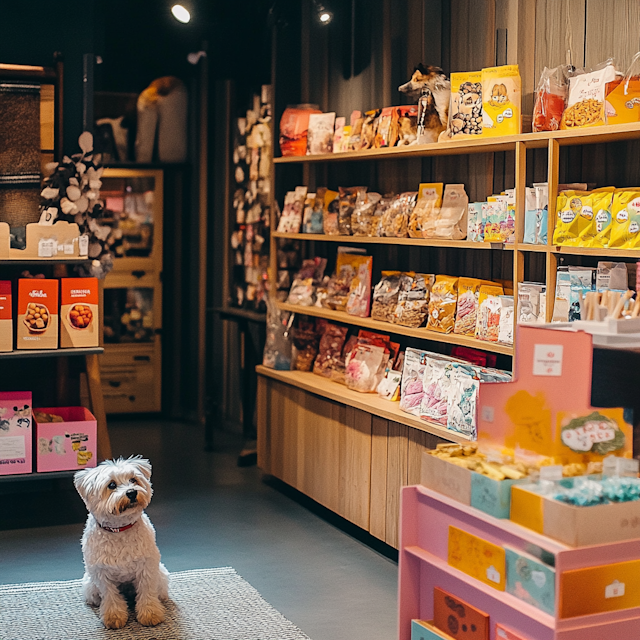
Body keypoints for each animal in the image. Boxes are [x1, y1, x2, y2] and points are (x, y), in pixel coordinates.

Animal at [74, 456, 170, 632]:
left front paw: (150, 614)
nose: (132, 492)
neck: (119, 529)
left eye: (133, 479)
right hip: (90, 586)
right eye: (111, 485)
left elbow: (147, 591)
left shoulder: (146, 567)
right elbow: (111, 596)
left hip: (160, 576)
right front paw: (114, 617)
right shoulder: (101, 573)